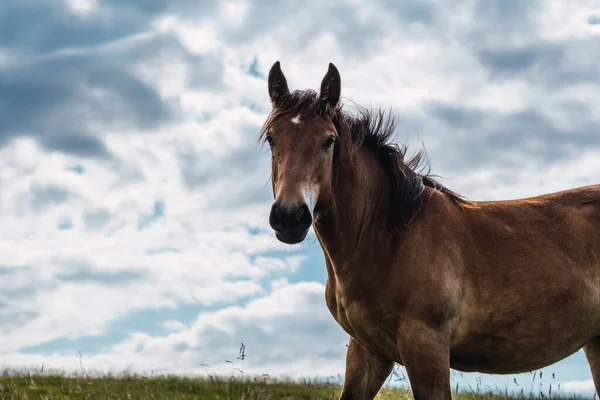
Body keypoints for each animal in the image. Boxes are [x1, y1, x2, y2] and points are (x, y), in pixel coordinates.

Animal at [256, 60, 600, 400]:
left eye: (329, 140)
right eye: (272, 138)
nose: (290, 216)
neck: (387, 240)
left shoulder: (425, 346)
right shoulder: (368, 350)